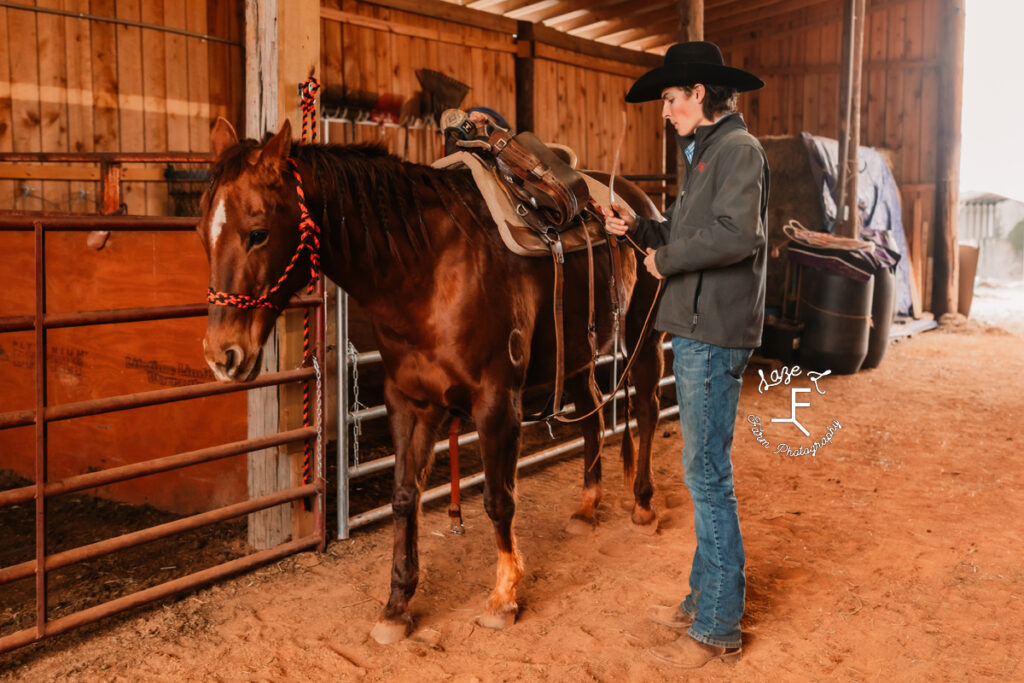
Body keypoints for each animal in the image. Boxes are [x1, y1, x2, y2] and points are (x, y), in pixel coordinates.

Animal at [196, 114, 667, 643]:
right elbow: (405, 497)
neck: (428, 267)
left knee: (647, 409)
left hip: (644, 335)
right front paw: (397, 605)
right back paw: (587, 508)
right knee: (591, 414)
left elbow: (498, 499)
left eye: (257, 233)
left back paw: (643, 505)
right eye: (201, 232)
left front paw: (504, 596)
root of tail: (639, 200)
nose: (222, 355)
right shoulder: (409, 401)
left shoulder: (497, 403)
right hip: (576, 356)